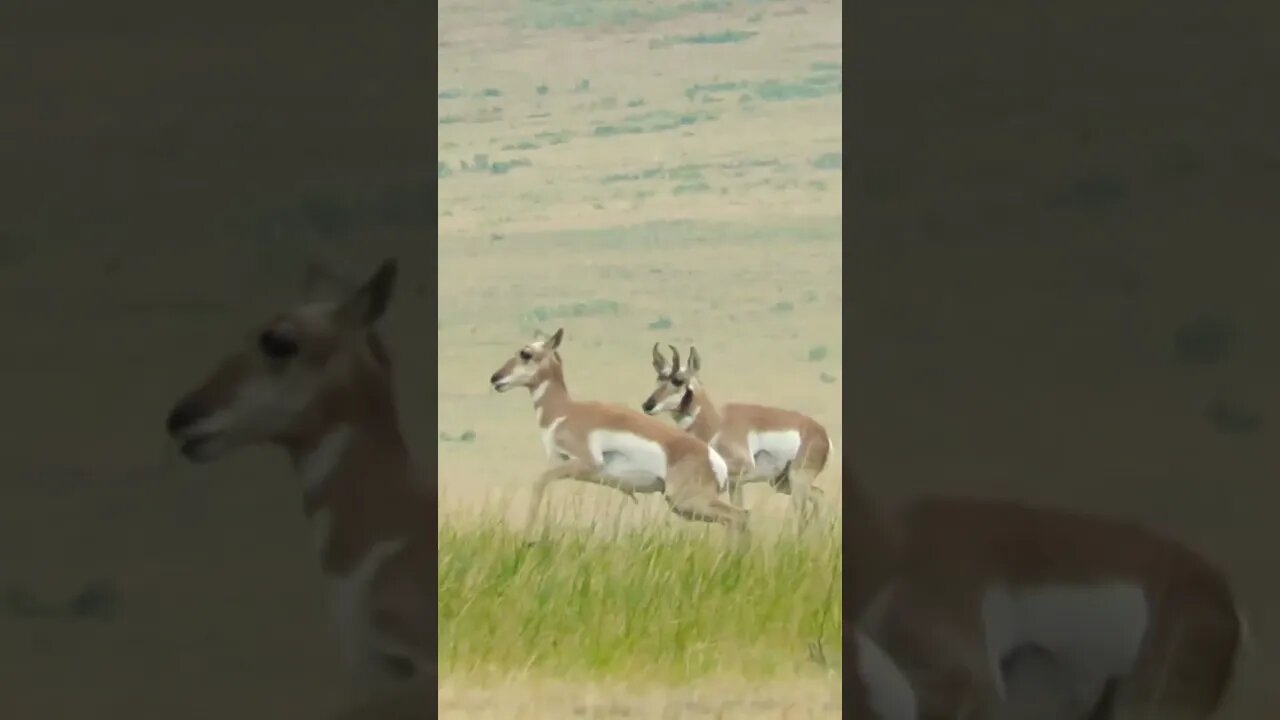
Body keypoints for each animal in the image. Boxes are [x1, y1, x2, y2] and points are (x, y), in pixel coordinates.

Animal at [488, 325, 747, 538]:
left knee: (738, 516)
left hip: (687, 502)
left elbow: (539, 482)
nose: (495, 378)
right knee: (739, 517)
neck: (565, 410)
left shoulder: (584, 464)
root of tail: (713, 458)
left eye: (526, 353)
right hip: (688, 505)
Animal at [645, 343, 834, 520]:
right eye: (659, 378)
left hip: (797, 480)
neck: (717, 423)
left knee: (800, 511)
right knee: (819, 495)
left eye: (678, 380)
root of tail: (821, 433)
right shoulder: (735, 484)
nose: (647, 405)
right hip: (781, 482)